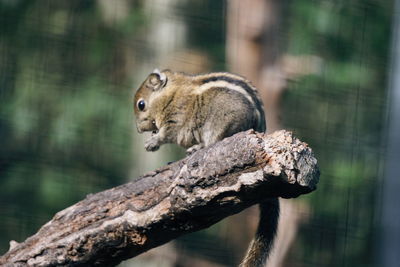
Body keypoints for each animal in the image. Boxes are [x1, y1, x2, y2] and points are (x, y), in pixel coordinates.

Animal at [133, 69, 280, 267]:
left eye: (141, 105)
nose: (139, 130)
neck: (171, 93)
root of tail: (261, 129)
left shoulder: (175, 120)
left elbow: (166, 134)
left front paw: (152, 142)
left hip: (222, 126)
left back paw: (198, 148)